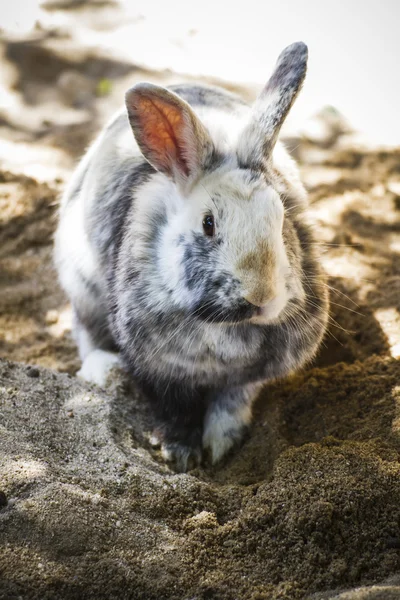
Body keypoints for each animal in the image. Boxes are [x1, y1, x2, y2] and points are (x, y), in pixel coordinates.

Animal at [54, 43, 328, 474]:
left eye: (282, 217)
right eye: (208, 224)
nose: (261, 297)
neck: (220, 326)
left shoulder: (247, 379)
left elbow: (231, 403)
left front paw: (220, 449)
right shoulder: (155, 369)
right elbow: (173, 410)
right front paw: (180, 455)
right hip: (82, 286)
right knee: (85, 333)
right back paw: (104, 371)